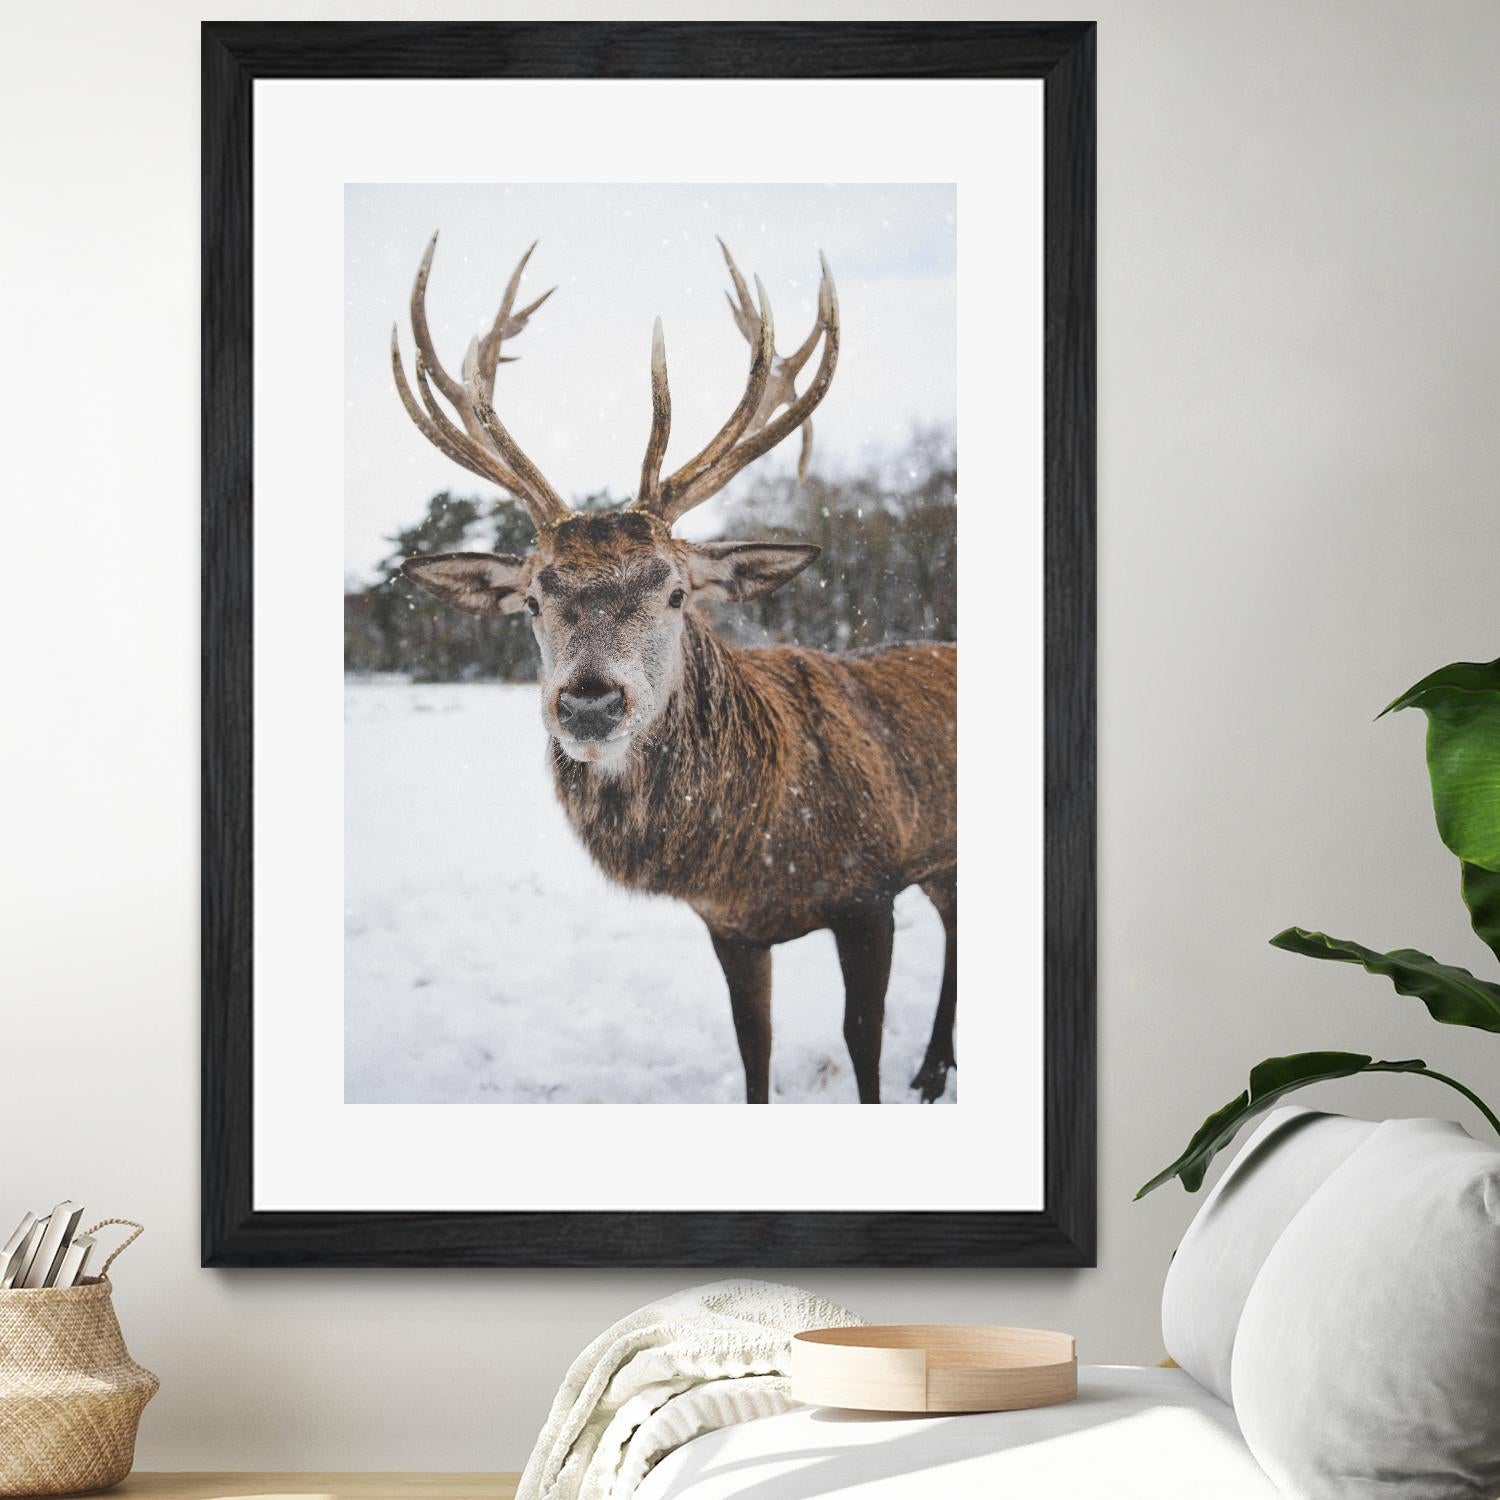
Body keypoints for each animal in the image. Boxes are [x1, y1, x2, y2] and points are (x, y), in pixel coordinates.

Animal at [392, 232, 957, 1104]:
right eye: (532, 600)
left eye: (676, 590)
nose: (590, 704)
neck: (762, 850)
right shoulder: (729, 926)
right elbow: (754, 1048)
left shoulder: (871, 889)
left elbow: (862, 1045)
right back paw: (933, 1066)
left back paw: (929, 1071)